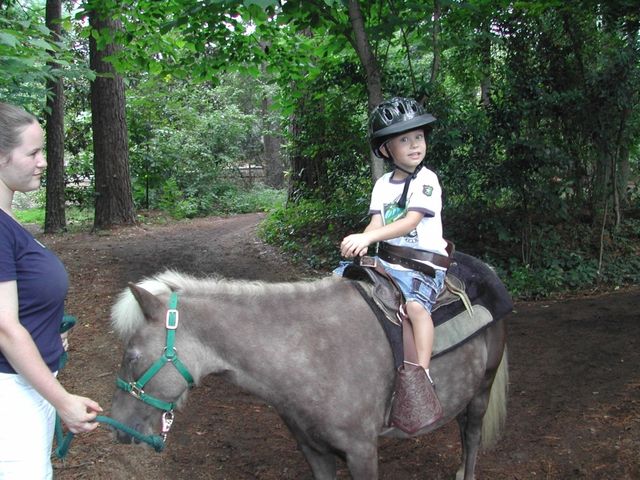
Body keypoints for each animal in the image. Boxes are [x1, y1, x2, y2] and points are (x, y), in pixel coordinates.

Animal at [109, 252, 511, 480]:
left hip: (483, 389)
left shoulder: (362, 452)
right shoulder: (314, 451)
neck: (311, 355)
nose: (117, 427)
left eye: (132, 356)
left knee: (472, 434)